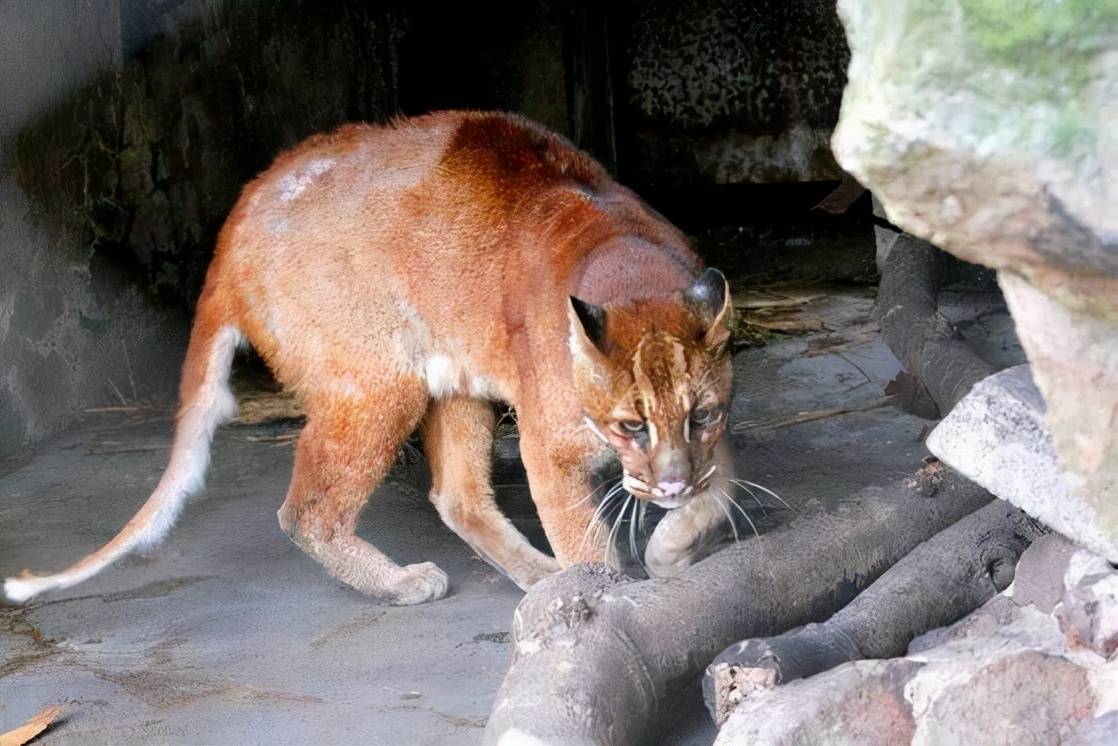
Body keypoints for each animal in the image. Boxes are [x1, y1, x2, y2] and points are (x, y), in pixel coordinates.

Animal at [10, 110, 742, 603]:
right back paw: (404, 583)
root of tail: (237, 218)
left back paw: (537, 578)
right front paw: (604, 598)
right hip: (378, 384)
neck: (630, 264)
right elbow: (587, 542)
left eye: (702, 415)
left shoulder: (711, 441)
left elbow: (722, 488)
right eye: (630, 425)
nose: (669, 485)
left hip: (452, 380)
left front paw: (672, 545)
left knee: (456, 495)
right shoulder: (551, 448)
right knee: (307, 508)